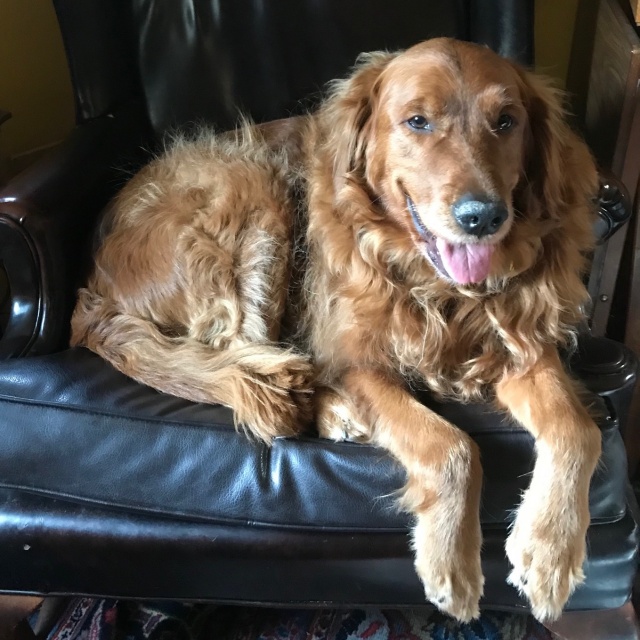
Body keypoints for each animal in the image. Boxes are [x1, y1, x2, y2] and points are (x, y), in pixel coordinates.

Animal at [71, 38, 602, 623]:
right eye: (417, 121)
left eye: (506, 121)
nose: (482, 217)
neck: (440, 290)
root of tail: (93, 283)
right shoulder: (354, 357)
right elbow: (451, 448)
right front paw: (451, 561)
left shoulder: (522, 347)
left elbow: (579, 431)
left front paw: (550, 552)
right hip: (252, 188)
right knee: (258, 369)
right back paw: (330, 410)